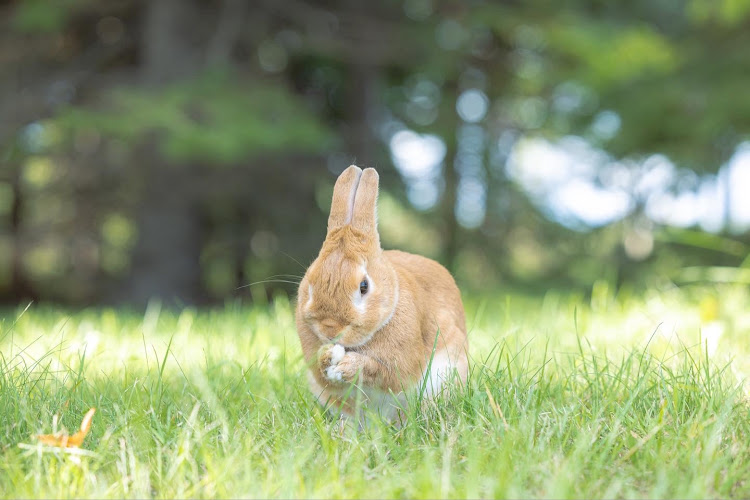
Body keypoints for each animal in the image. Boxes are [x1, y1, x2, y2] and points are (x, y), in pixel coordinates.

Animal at [296, 165, 468, 422]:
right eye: (310, 282)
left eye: (364, 286)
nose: (330, 330)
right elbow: (322, 371)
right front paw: (329, 356)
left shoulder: (403, 360)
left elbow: (386, 373)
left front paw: (348, 366)